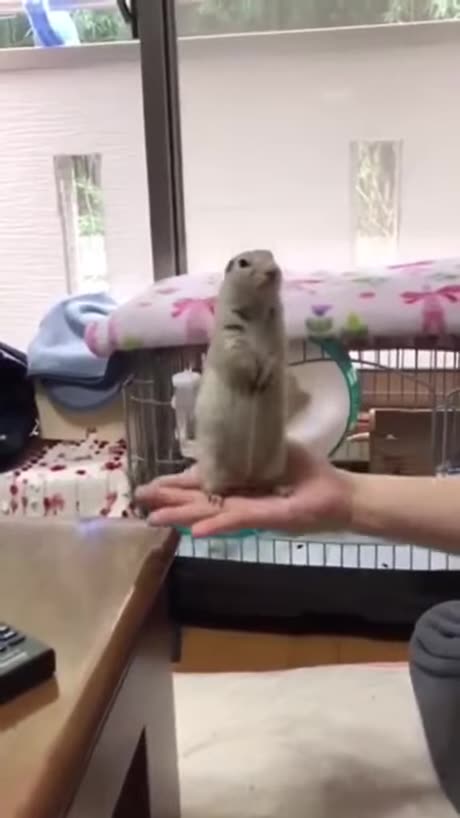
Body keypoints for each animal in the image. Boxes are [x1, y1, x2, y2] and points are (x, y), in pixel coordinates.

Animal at [194, 249, 288, 503]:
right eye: (243, 263)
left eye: (272, 256)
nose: (273, 271)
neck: (256, 309)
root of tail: (245, 480)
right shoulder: (229, 334)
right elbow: (240, 358)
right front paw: (253, 381)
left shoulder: (278, 335)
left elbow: (275, 357)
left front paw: (264, 380)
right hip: (212, 465)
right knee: (210, 486)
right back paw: (215, 498)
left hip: (276, 463)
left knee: (268, 483)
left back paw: (283, 489)